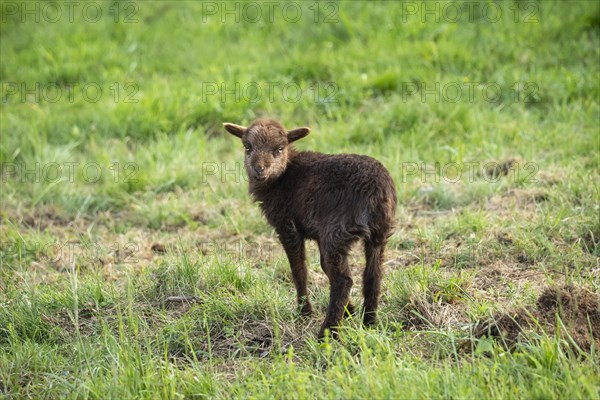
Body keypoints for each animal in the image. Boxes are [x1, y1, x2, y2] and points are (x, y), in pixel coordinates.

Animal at [223, 119, 396, 338]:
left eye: (280, 148)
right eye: (248, 147)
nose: (259, 170)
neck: (283, 176)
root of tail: (375, 190)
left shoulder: (287, 226)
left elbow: (299, 270)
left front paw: (304, 311)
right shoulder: (319, 234)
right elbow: (323, 266)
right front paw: (350, 310)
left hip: (338, 230)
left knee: (343, 281)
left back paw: (327, 332)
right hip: (378, 232)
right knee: (373, 274)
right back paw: (369, 322)